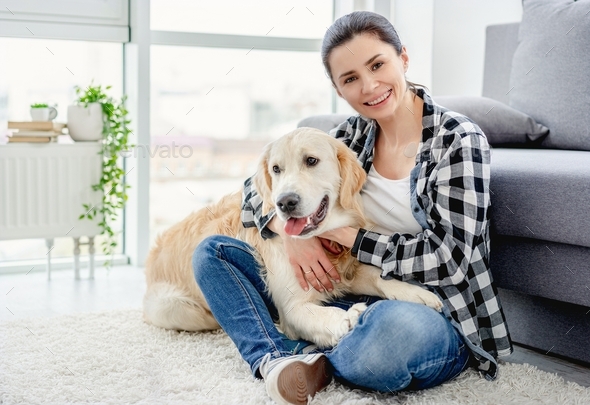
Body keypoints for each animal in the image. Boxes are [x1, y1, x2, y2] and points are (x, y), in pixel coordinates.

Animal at [143, 127, 442, 348]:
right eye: (276, 169)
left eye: (311, 161)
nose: (285, 202)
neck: (323, 240)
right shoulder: (293, 307)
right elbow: (324, 314)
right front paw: (349, 317)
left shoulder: (345, 272)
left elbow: (377, 275)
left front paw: (416, 293)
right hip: (180, 309)